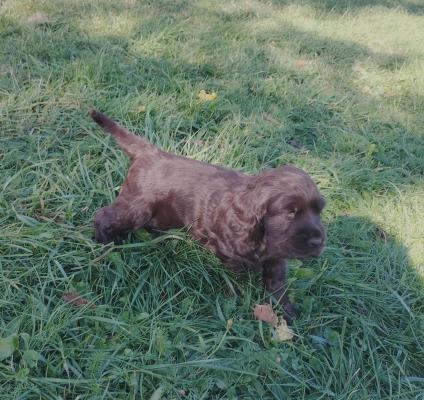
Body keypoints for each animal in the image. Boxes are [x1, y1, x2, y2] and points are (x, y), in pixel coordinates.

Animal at [91, 109, 326, 318]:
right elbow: (240, 270)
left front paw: (288, 311)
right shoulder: (224, 246)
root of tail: (150, 152)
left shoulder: (276, 257)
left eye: (319, 211)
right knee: (102, 216)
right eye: (290, 212)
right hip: (137, 206)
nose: (318, 242)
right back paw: (105, 245)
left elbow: (276, 282)